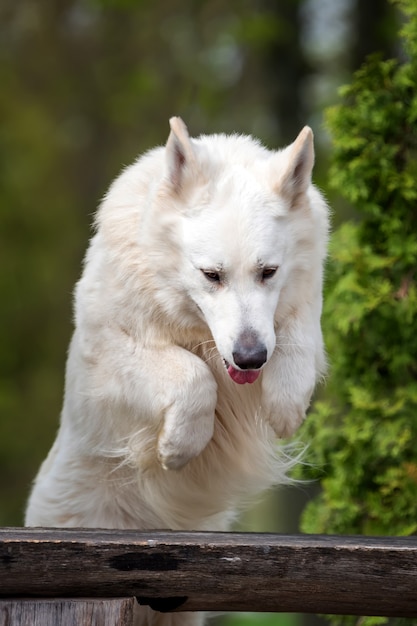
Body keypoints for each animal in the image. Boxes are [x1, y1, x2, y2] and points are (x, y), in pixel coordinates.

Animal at [25, 118, 328, 624]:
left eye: (268, 272)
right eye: (211, 275)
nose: (250, 359)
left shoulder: (301, 309)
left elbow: (297, 345)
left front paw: (285, 408)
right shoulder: (111, 354)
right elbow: (192, 374)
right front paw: (178, 447)